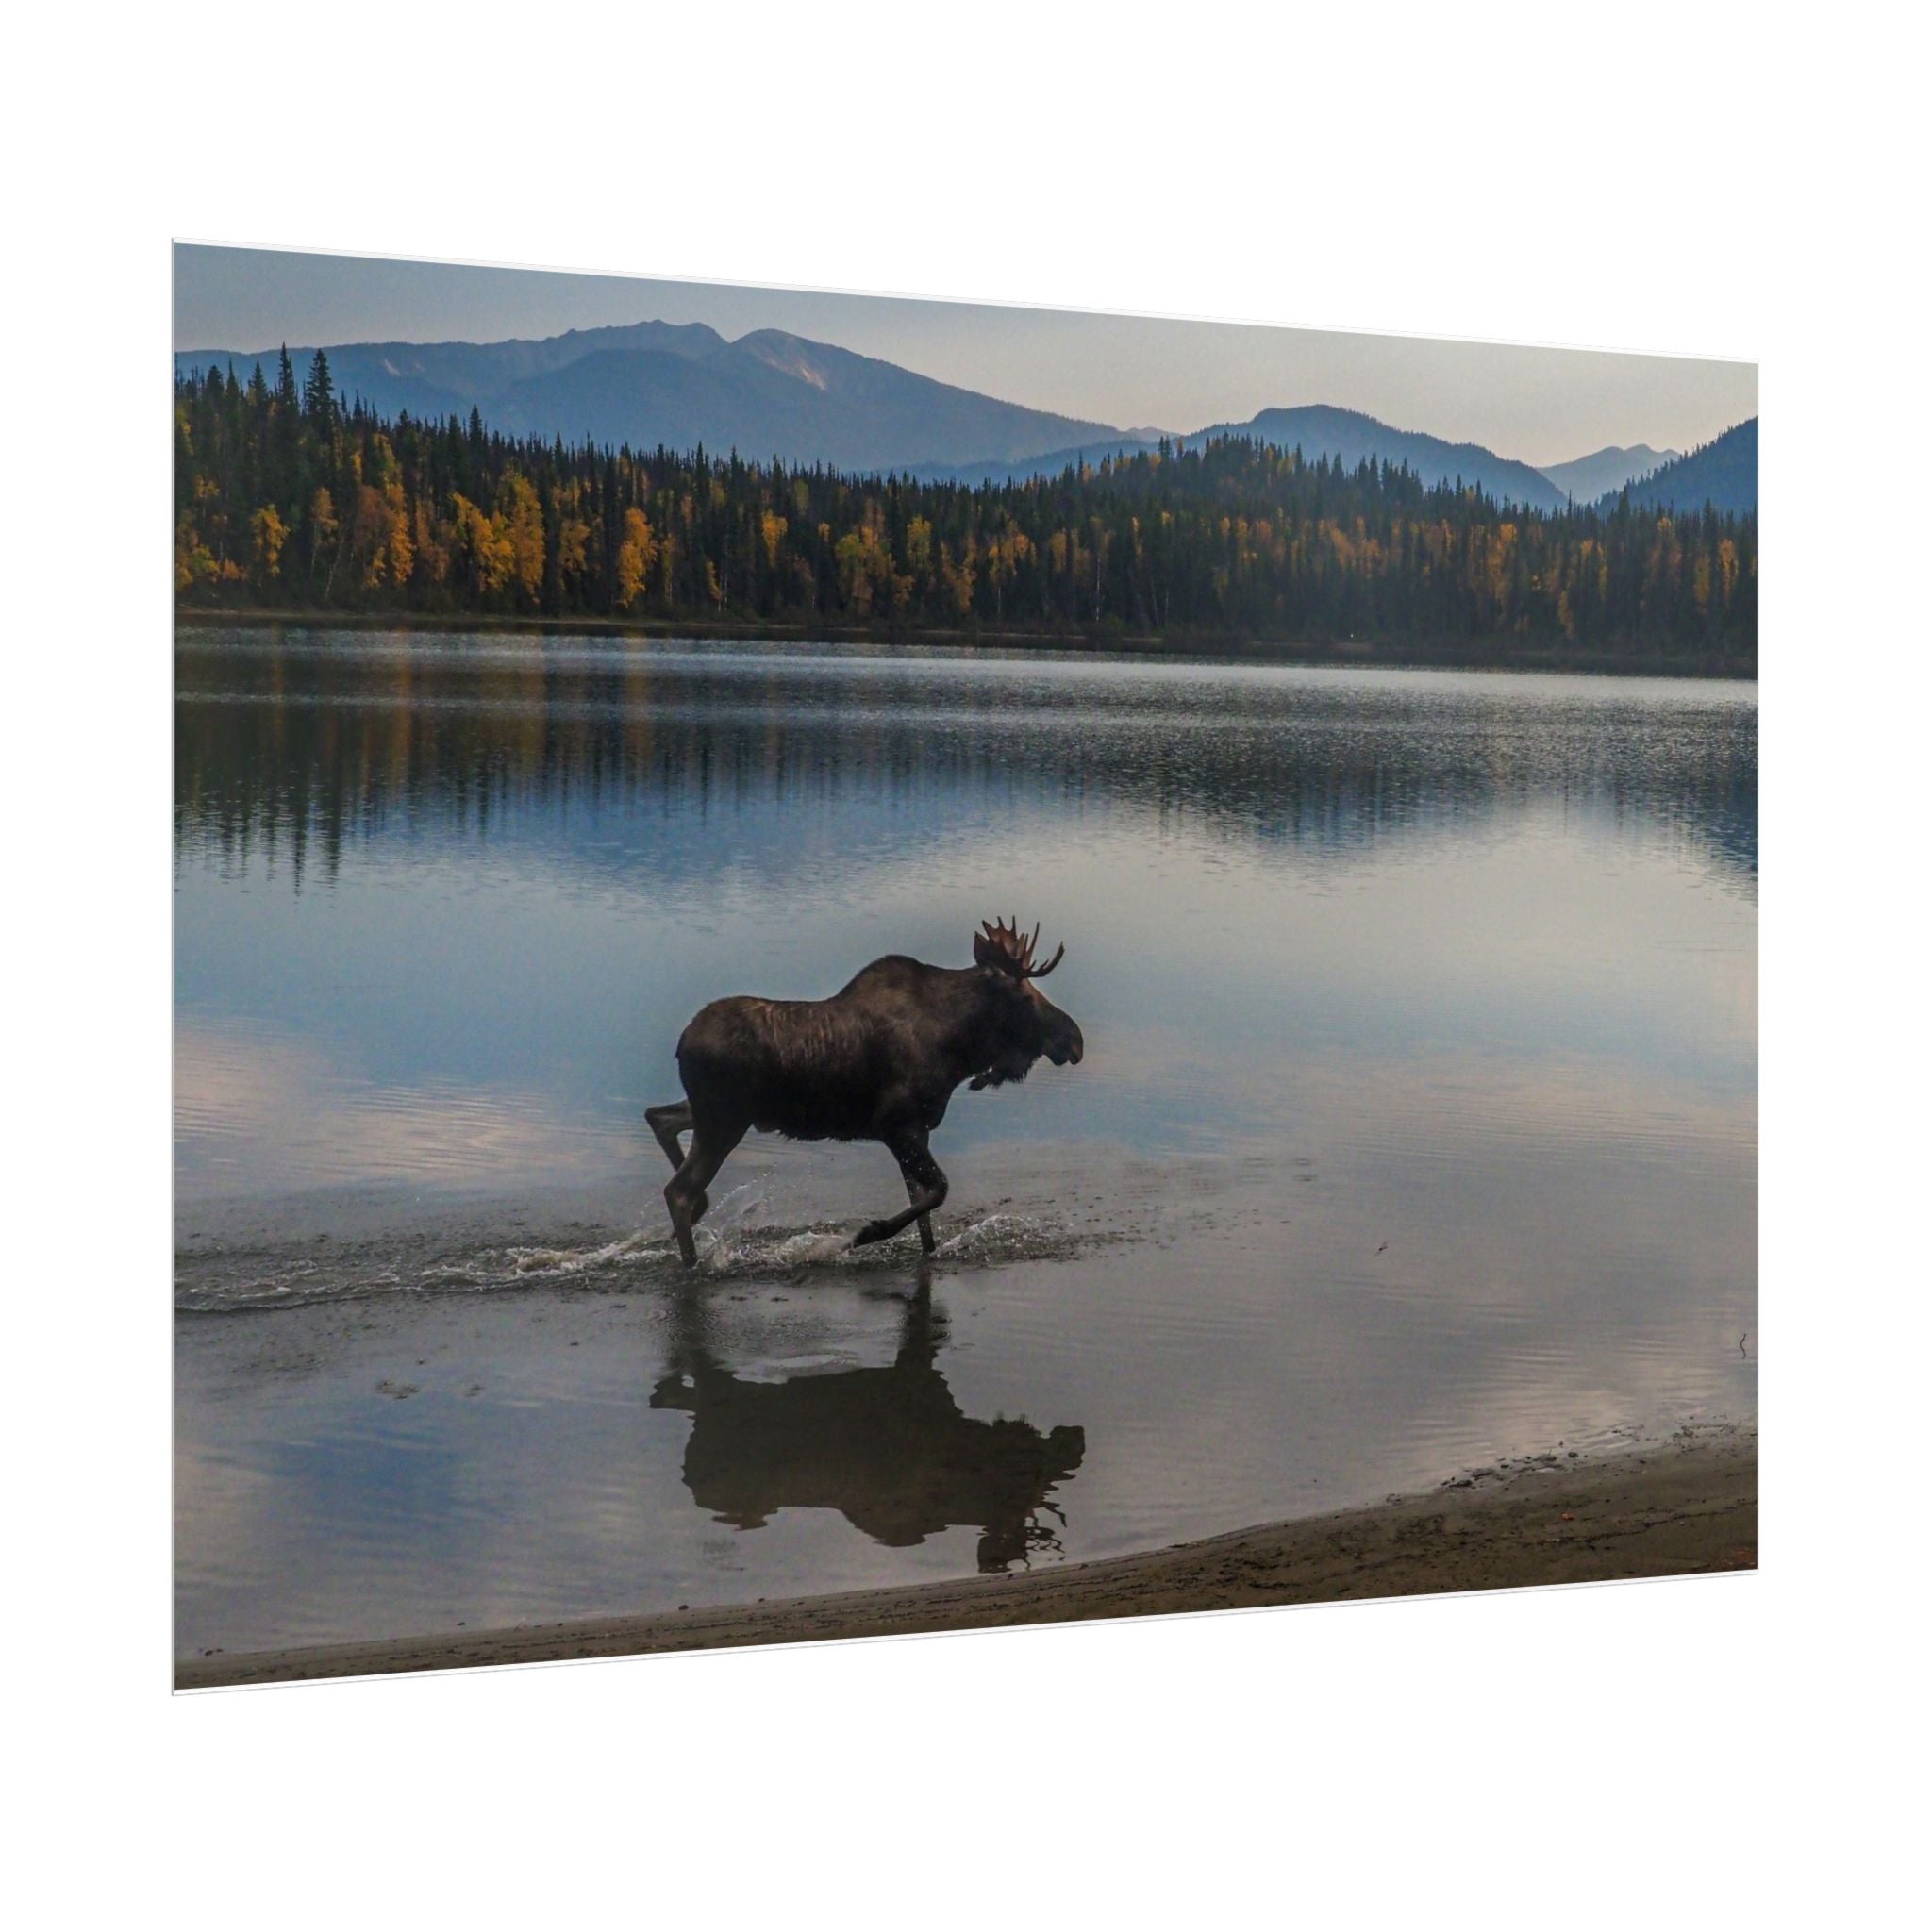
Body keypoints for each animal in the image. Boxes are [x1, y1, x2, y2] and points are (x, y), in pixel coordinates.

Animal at [646, 918, 1084, 1266]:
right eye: (1025, 996)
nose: (1075, 1040)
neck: (958, 1049)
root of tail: (682, 1043)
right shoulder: (896, 1125)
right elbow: (937, 1191)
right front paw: (862, 1234)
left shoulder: (918, 1131)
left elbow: (923, 1210)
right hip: (724, 1120)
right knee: (677, 1190)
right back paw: (692, 1260)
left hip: (718, 1113)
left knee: (660, 1118)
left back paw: (699, 1213)